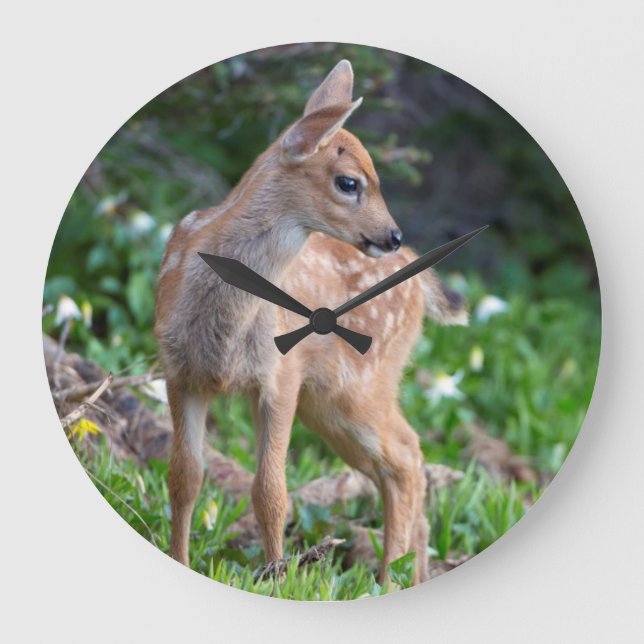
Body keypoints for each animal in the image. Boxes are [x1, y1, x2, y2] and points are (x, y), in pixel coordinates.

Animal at [155, 59, 468, 586]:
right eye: (349, 182)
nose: (391, 233)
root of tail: (417, 271)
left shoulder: (281, 375)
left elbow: (270, 490)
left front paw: (278, 578)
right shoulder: (180, 372)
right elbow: (184, 478)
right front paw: (180, 561)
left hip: (359, 383)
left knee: (406, 456)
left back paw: (387, 579)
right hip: (330, 402)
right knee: (403, 462)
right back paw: (411, 573)